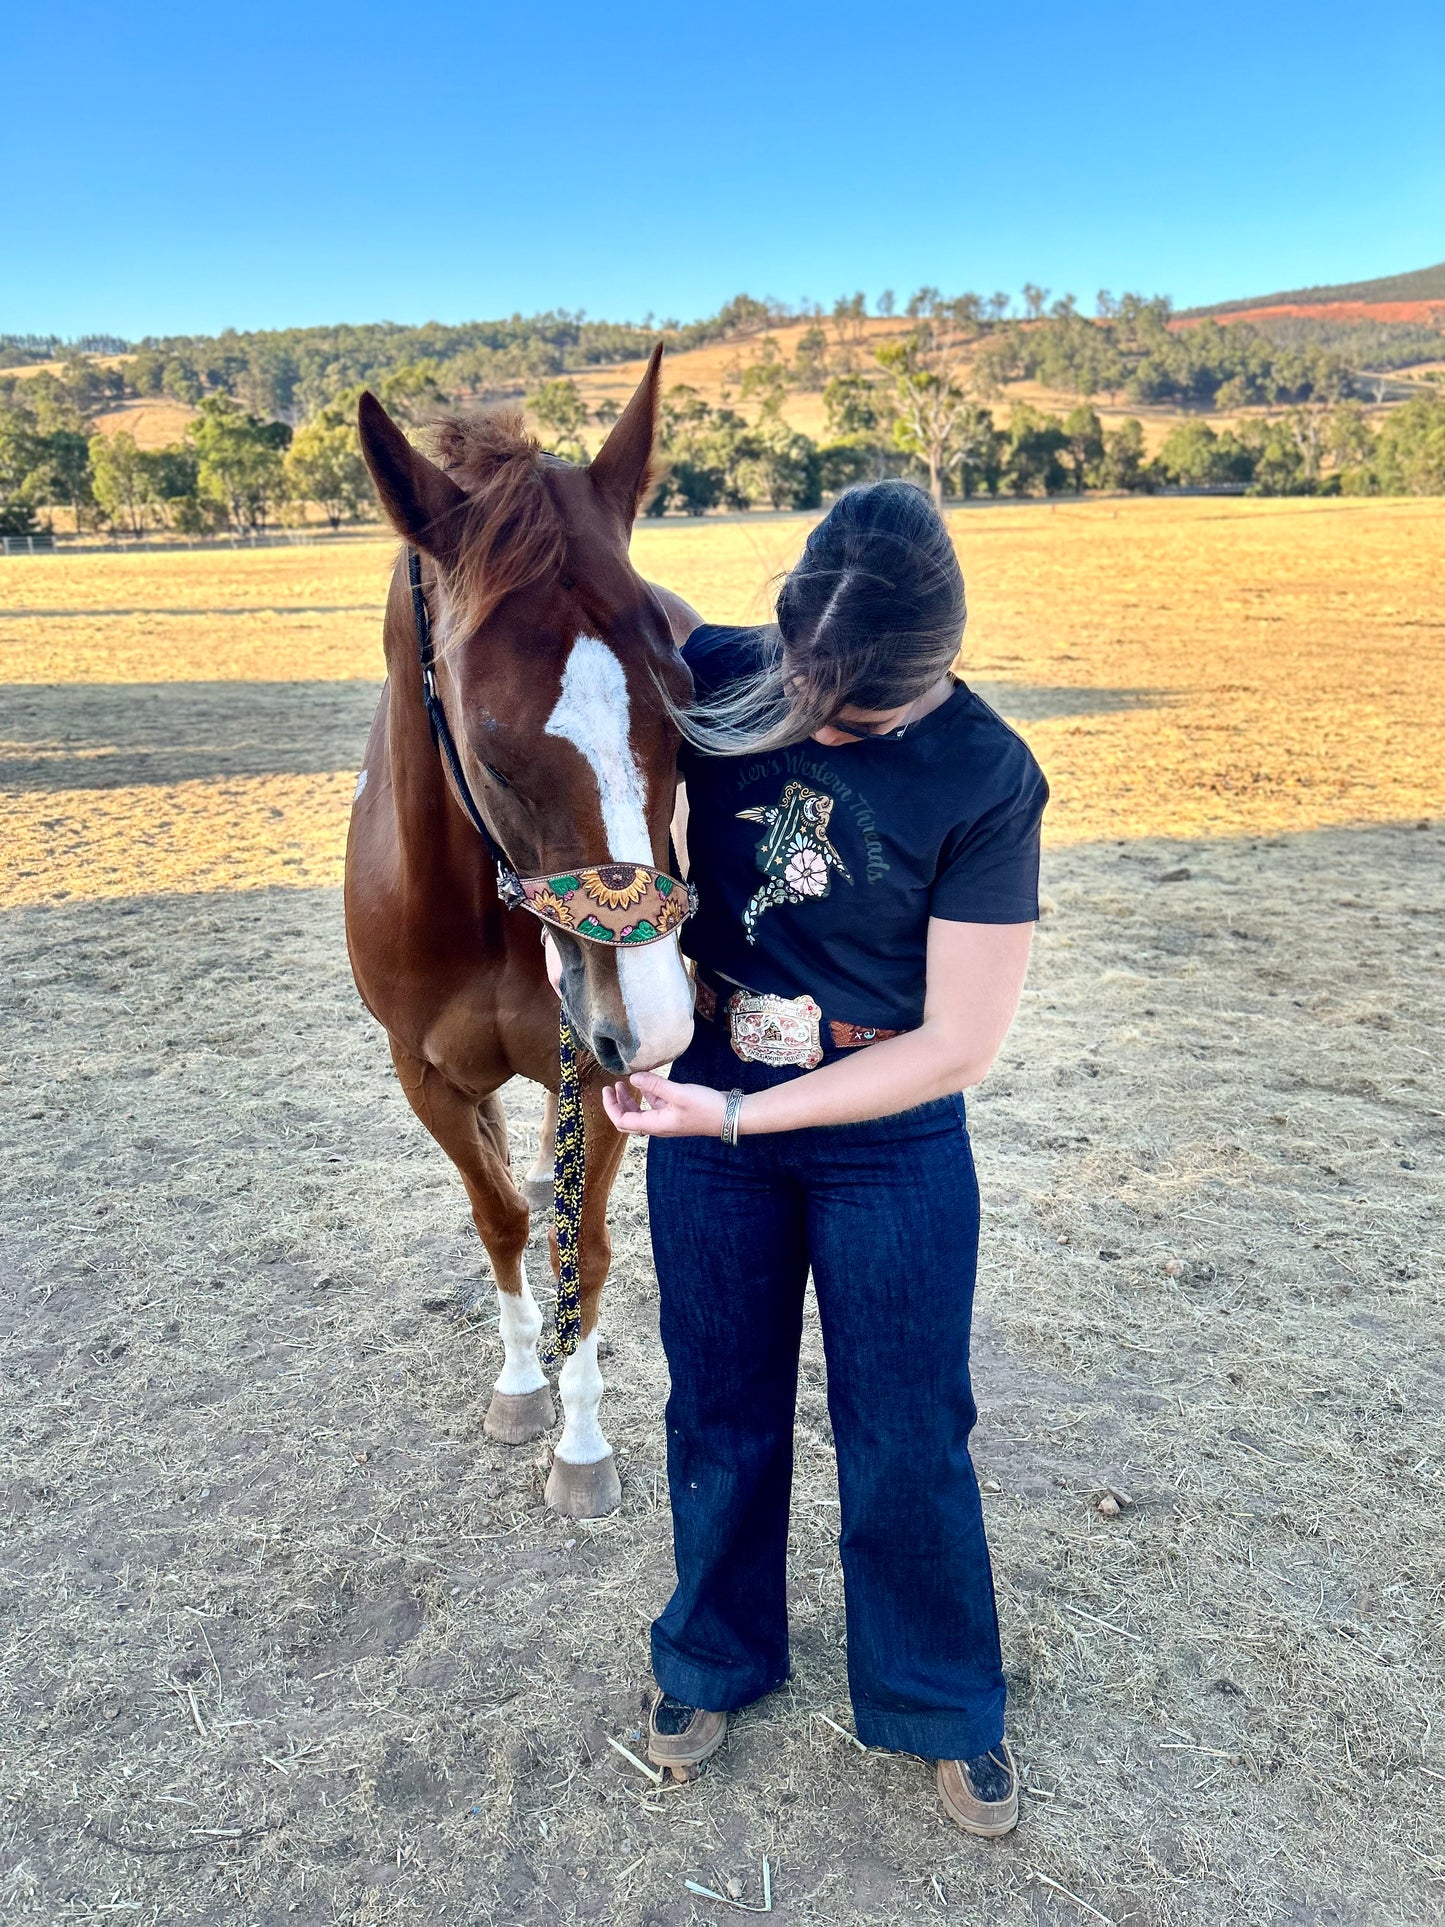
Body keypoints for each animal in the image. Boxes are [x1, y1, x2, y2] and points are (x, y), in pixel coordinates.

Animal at [344, 350, 697, 1518]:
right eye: (492, 749)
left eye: (690, 707)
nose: (658, 1023)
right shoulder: (427, 1075)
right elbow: (498, 1220)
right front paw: (519, 1388)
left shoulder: (599, 1069)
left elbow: (580, 1248)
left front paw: (581, 1447)